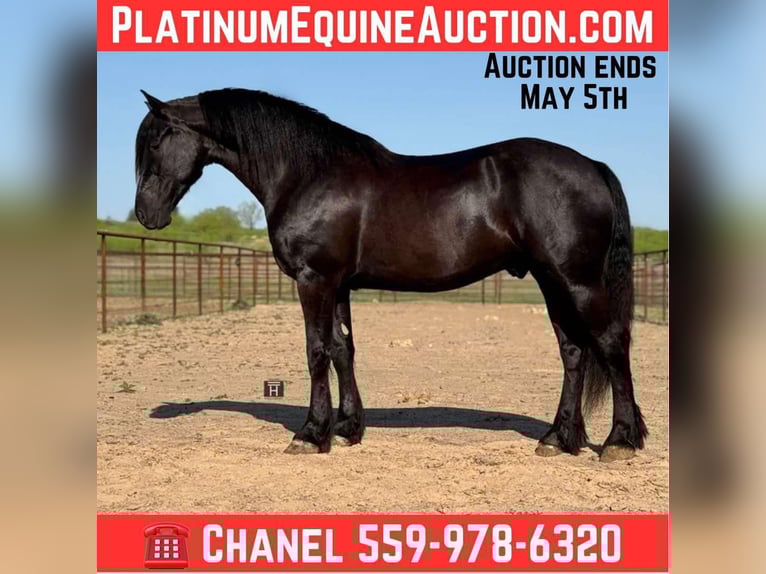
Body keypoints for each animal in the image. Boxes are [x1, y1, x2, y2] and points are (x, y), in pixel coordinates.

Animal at [134, 88, 648, 462]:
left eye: (155, 141)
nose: (144, 214)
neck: (308, 173)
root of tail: (593, 166)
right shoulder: (338, 284)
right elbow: (343, 350)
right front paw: (346, 429)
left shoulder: (314, 279)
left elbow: (316, 350)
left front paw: (310, 434)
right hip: (551, 281)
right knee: (574, 352)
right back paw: (558, 439)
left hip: (577, 281)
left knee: (610, 344)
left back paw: (619, 441)